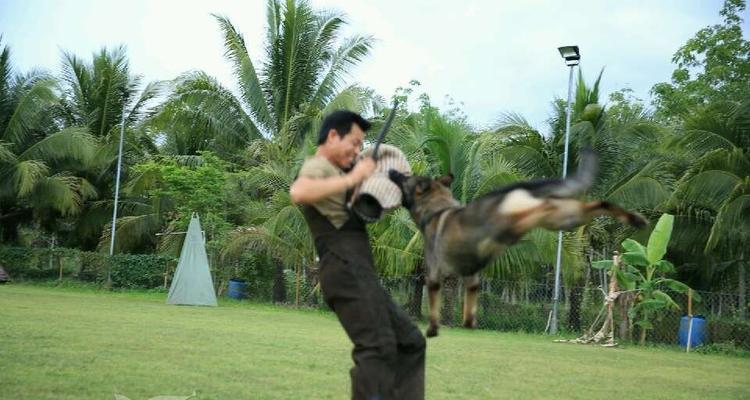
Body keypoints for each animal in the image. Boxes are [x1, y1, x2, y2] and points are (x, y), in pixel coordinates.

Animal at [390, 150, 648, 338]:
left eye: (404, 178)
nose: (393, 170)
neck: (436, 209)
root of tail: (521, 188)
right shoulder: (472, 277)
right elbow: (470, 303)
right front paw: (468, 322)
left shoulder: (434, 273)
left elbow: (434, 302)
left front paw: (433, 329)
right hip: (565, 217)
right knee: (600, 203)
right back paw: (635, 218)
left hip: (515, 221)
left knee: (542, 207)